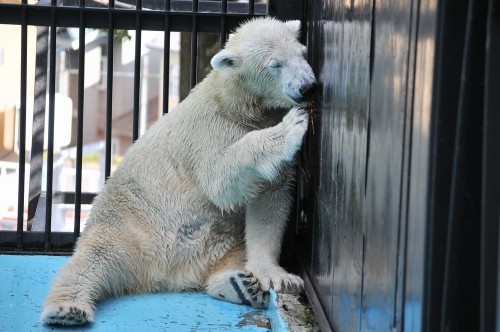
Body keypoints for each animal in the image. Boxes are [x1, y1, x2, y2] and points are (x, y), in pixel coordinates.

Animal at [42, 16, 316, 326]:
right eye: (275, 64)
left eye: (302, 53)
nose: (308, 87)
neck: (235, 103)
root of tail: (166, 276)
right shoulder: (209, 130)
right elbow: (220, 179)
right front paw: (291, 126)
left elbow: (269, 202)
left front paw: (279, 278)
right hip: (127, 226)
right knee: (92, 260)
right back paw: (67, 309)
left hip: (218, 242)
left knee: (233, 253)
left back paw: (240, 284)